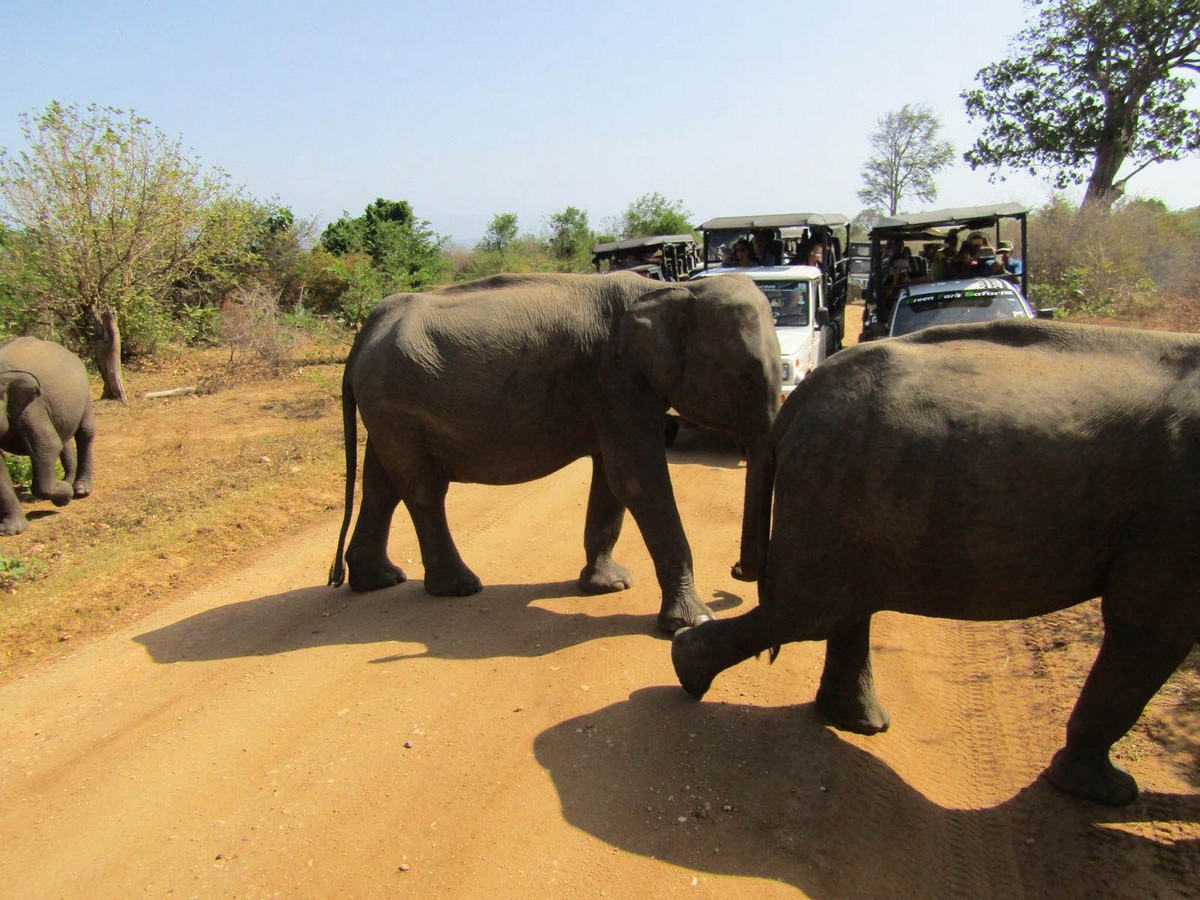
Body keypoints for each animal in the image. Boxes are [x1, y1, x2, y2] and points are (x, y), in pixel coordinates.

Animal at [0, 338, 96, 535]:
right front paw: (11, 531)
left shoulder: (32, 408)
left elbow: (47, 446)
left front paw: (64, 496)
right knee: (63, 438)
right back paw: (68, 481)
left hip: (84, 391)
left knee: (84, 432)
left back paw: (80, 490)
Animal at [328, 271, 782, 628]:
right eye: (745, 376)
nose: (736, 569)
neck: (671, 290)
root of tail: (365, 331)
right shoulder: (616, 378)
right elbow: (636, 480)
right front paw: (694, 622)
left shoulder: (614, 390)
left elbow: (612, 482)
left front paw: (608, 586)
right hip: (395, 402)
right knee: (423, 490)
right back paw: (460, 587)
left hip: (386, 407)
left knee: (382, 485)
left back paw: (379, 581)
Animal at [676, 319, 1200, 811]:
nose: (735, 572)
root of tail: (799, 402)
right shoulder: (1175, 514)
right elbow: (1153, 627)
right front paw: (1113, 796)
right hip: (833, 482)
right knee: (809, 612)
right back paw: (690, 670)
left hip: (843, 489)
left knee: (834, 610)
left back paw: (848, 720)